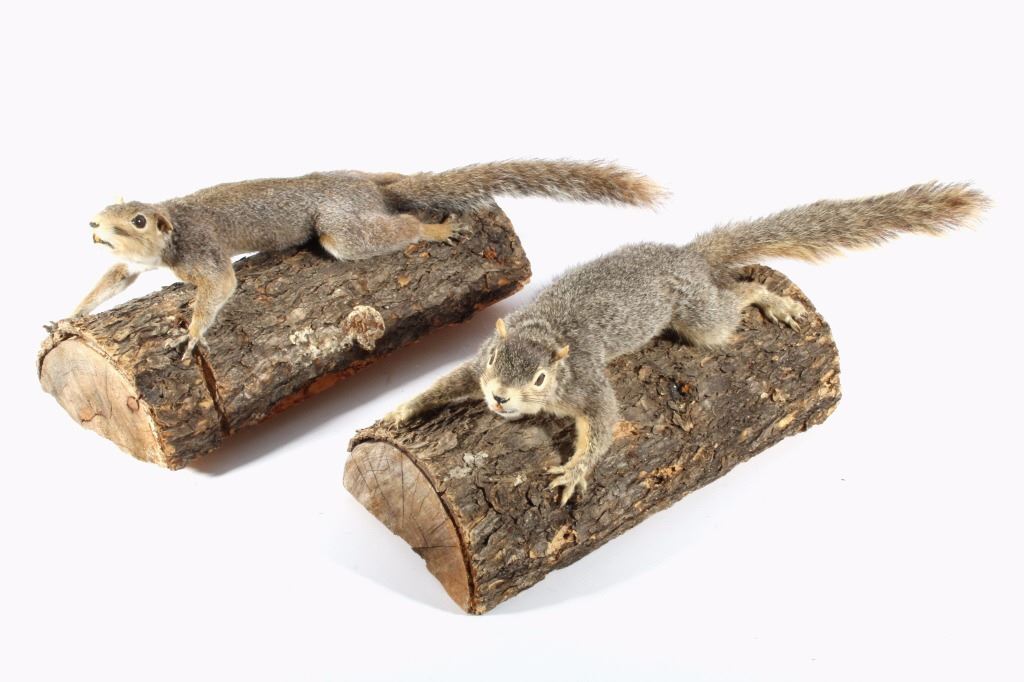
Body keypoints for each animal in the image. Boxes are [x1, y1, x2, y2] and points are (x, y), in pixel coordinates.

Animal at [73, 160, 664, 361]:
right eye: (105, 213)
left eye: (137, 221)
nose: (93, 227)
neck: (172, 225)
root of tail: (370, 189)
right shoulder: (131, 267)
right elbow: (113, 279)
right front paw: (73, 315)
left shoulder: (203, 252)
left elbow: (219, 287)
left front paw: (194, 335)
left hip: (342, 229)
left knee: (382, 232)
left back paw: (433, 227)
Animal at [385, 182, 989, 505]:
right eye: (496, 359)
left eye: (539, 378)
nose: (499, 399)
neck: (547, 333)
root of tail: (688, 257)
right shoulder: (476, 367)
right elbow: (448, 382)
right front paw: (403, 410)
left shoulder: (587, 381)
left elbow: (604, 422)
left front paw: (576, 471)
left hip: (700, 315)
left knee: (734, 300)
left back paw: (769, 300)